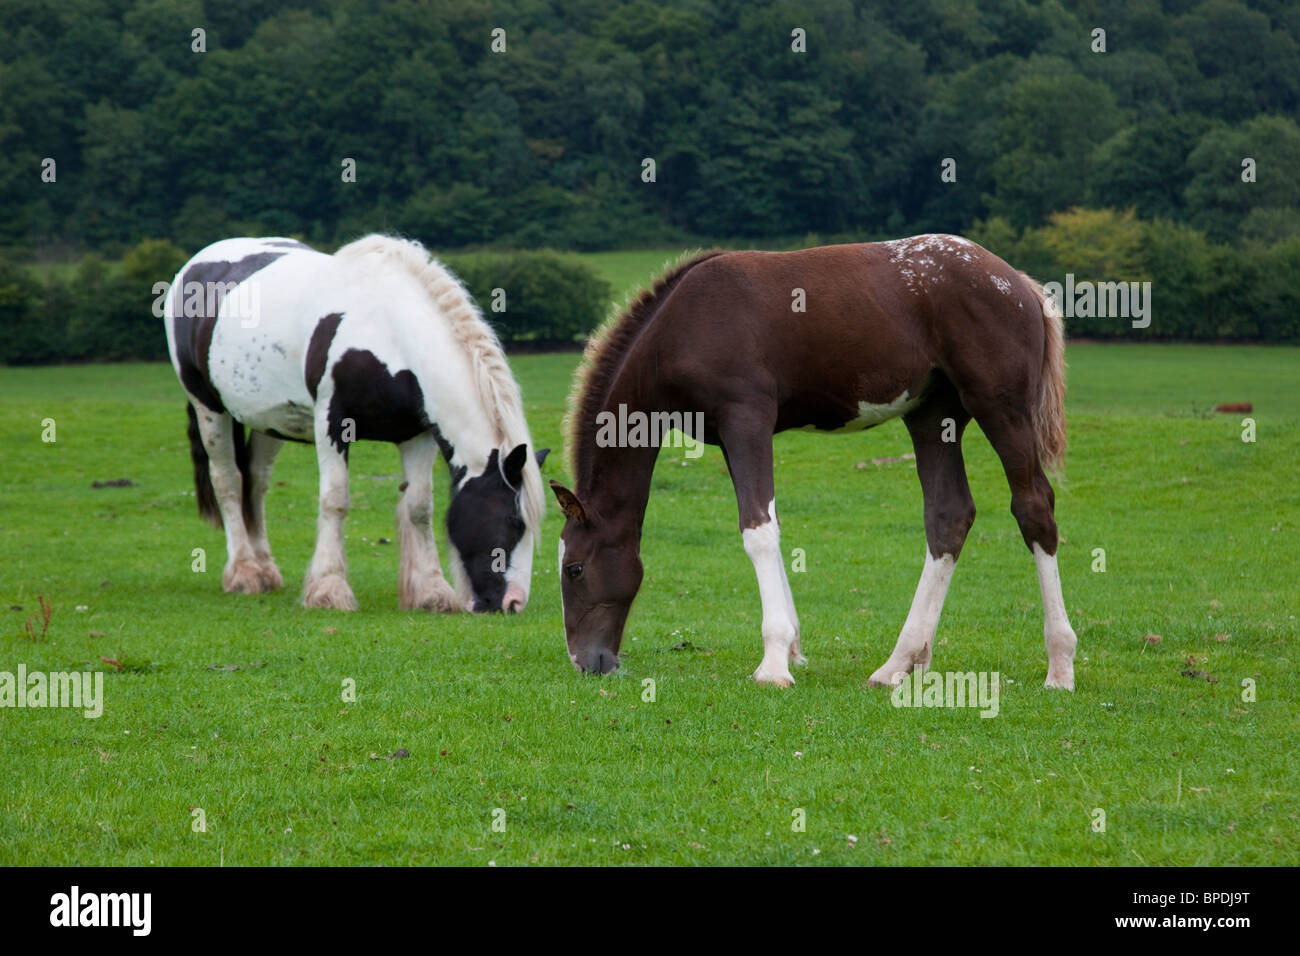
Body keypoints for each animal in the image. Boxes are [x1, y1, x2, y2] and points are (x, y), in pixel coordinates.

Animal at [165, 235, 546, 616]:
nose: (514, 602)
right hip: (209, 407)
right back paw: (244, 572)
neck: (387, 331)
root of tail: (195, 266)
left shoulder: (416, 434)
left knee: (255, 482)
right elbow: (335, 500)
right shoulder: (331, 425)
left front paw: (431, 592)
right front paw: (329, 589)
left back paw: (265, 570)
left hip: (267, 420)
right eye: (514, 522)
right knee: (229, 481)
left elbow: (419, 507)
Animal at [548, 236, 1076, 691]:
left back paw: (1059, 665)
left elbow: (757, 530)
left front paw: (774, 664)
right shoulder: (732, 437)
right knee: (949, 515)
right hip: (933, 416)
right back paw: (899, 663)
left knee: (1034, 507)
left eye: (574, 569)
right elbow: (770, 522)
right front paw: (792, 649)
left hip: (999, 407)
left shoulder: (747, 418)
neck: (680, 327)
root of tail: (1018, 283)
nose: (585, 662)